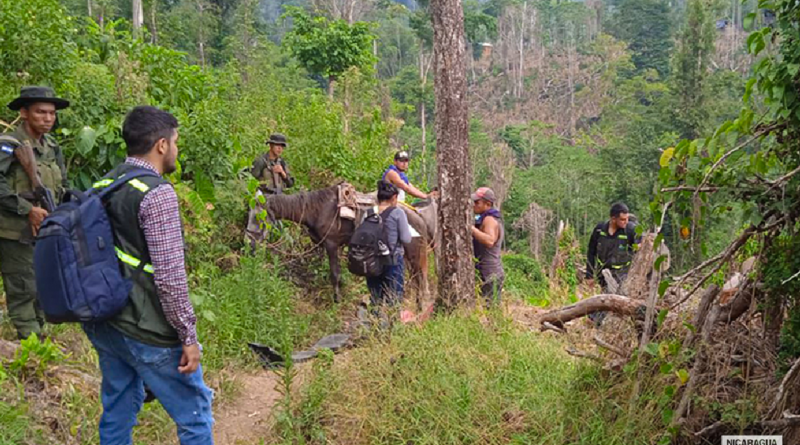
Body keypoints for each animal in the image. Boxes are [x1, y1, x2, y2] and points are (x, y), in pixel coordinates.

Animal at [260, 185, 438, 306]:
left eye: (260, 213)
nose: (254, 237)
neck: (316, 209)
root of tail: (418, 216)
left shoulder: (331, 244)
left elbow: (334, 274)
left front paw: (337, 299)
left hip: (414, 253)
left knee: (419, 278)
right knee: (416, 278)